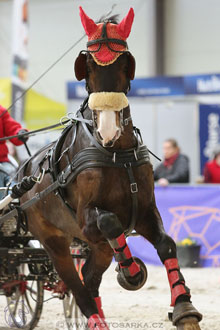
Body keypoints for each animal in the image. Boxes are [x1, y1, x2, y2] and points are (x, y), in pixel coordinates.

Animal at [18, 6, 202, 328]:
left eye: (124, 63)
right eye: (89, 66)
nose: (107, 130)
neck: (116, 153)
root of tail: (21, 173)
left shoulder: (144, 209)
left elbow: (166, 244)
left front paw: (183, 306)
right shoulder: (87, 218)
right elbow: (110, 222)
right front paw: (131, 271)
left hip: (95, 246)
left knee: (90, 278)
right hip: (55, 242)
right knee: (79, 288)